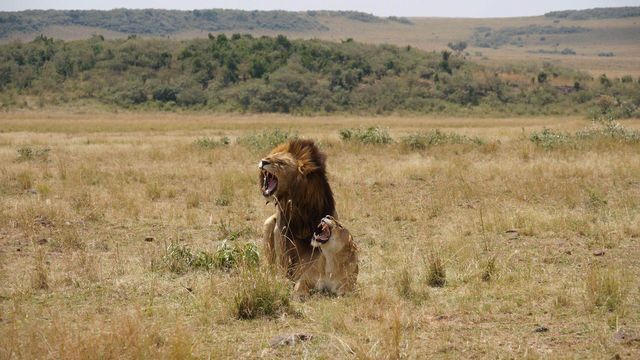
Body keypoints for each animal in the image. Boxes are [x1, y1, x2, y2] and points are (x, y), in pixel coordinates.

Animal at [258, 139, 338, 280]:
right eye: (270, 156)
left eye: (281, 162)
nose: (263, 161)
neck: (298, 204)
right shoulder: (282, 230)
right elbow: (284, 258)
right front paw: (283, 279)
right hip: (268, 223)